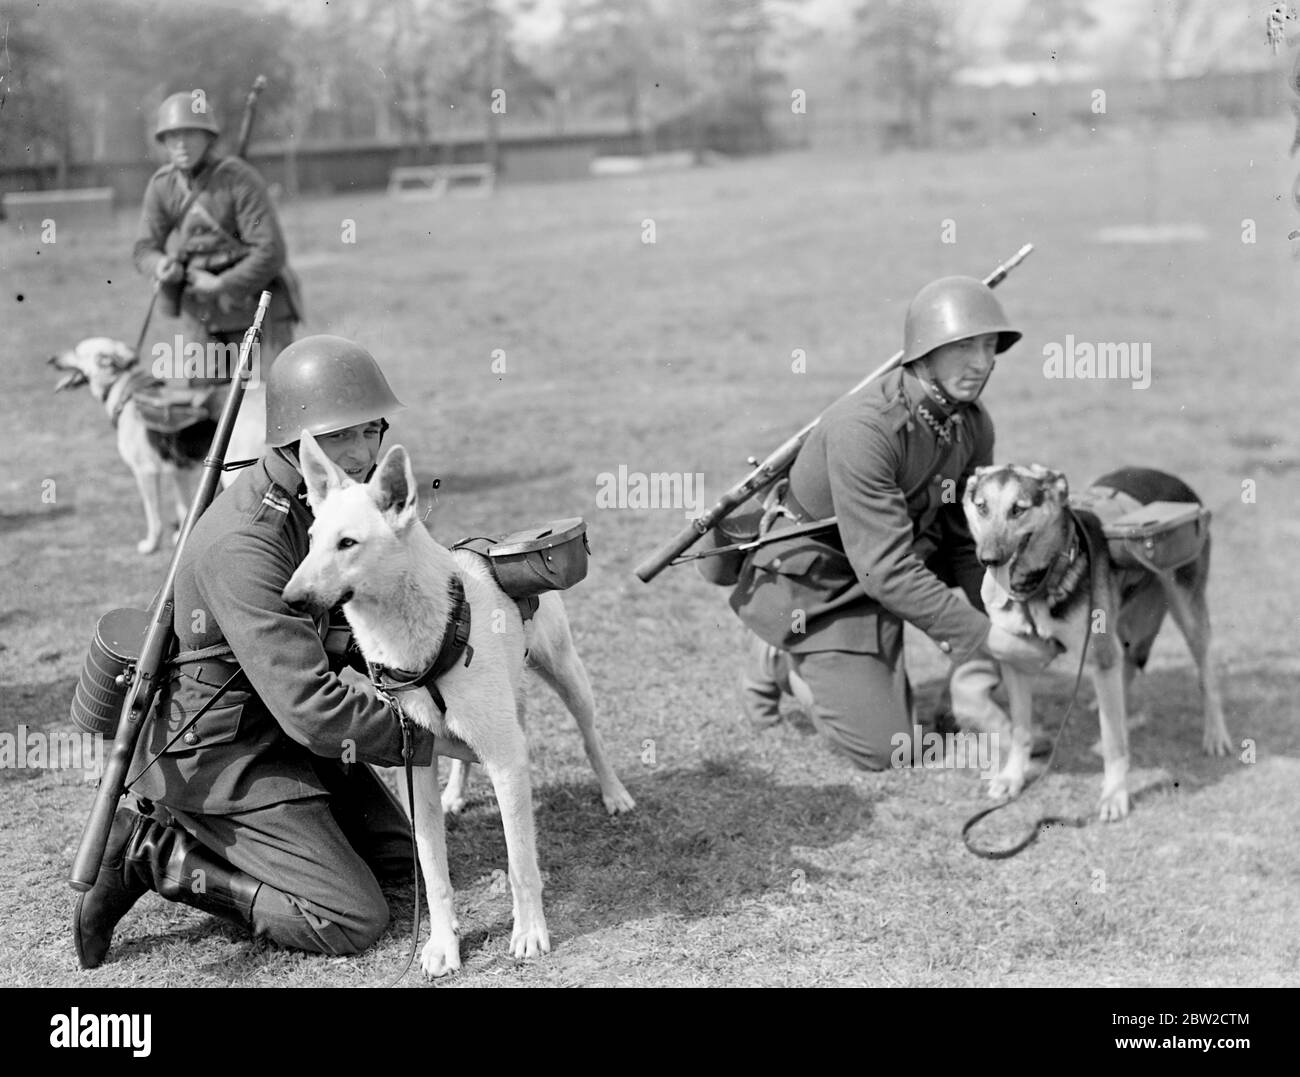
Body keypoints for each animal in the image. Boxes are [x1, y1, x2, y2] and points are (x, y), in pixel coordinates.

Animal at [967, 465, 1227, 822]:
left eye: (1017, 510)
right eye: (982, 508)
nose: (988, 559)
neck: (1046, 578)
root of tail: (1168, 476)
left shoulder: (1100, 655)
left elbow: (1115, 744)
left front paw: (1115, 795)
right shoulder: (1016, 662)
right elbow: (1021, 730)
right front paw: (1012, 778)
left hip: (1188, 614)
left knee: (1206, 675)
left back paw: (1216, 735)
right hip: (1124, 623)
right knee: (1126, 672)